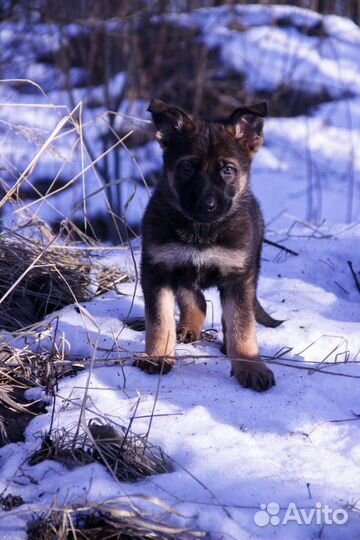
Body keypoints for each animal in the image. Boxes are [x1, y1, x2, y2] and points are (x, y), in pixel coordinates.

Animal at [138, 98, 282, 392]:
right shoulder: (157, 270)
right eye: (187, 168)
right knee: (198, 302)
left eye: (227, 170)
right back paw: (188, 329)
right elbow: (159, 320)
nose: (207, 205)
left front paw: (250, 367)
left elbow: (242, 325)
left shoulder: (239, 278)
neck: (201, 231)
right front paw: (158, 356)